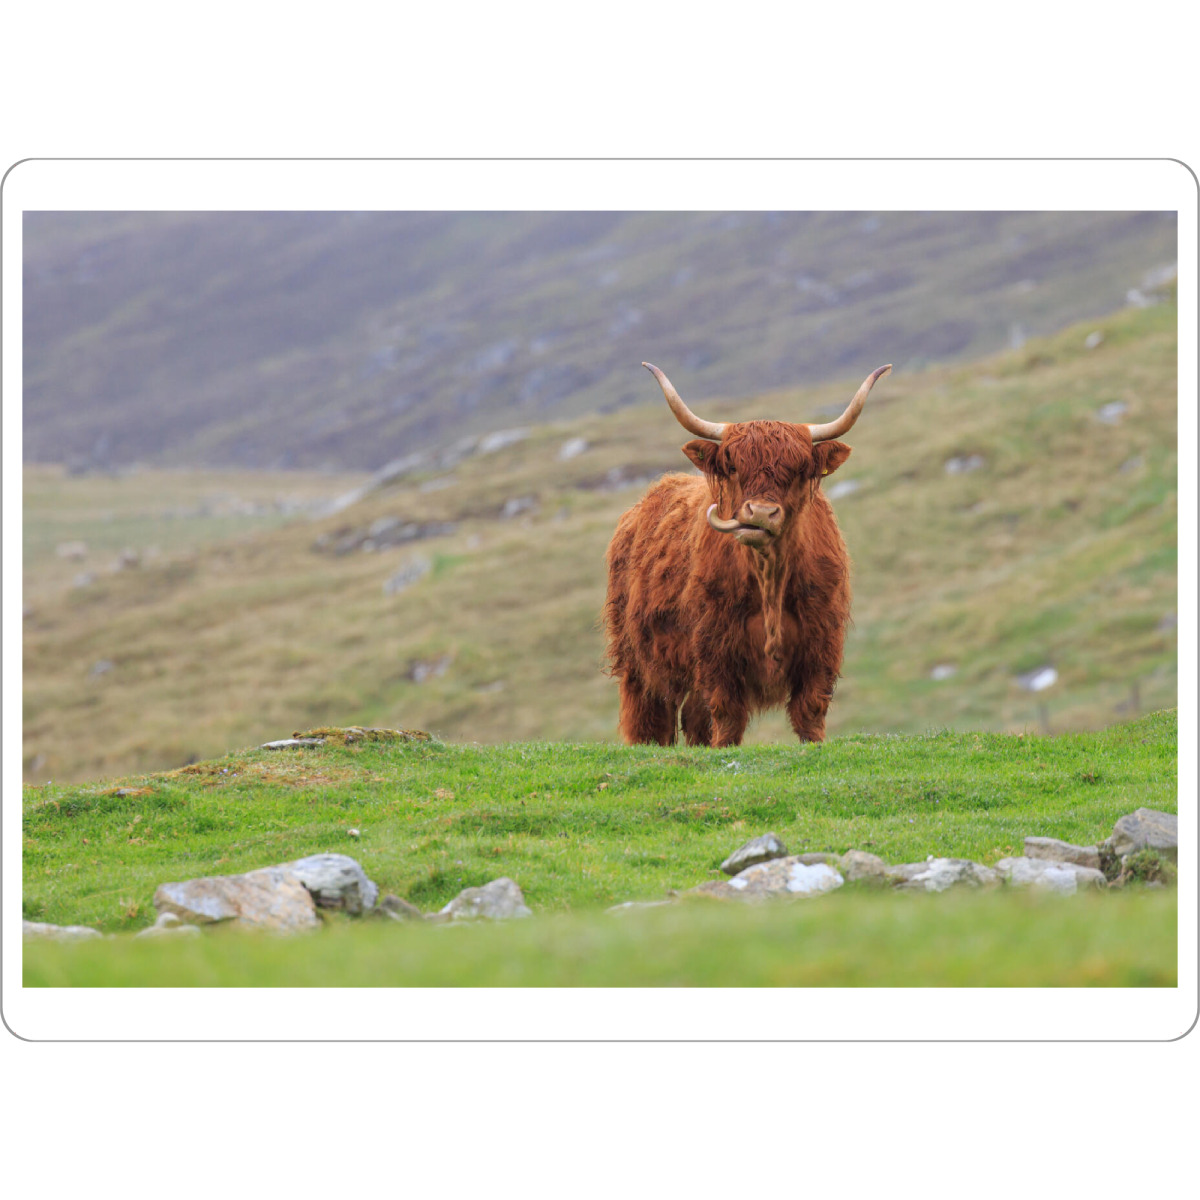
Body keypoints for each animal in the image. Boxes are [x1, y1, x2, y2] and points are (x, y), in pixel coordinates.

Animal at [603, 360, 891, 747]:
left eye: (798, 469)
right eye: (734, 466)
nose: (761, 514)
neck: (769, 578)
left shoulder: (820, 644)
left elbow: (810, 712)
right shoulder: (716, 648)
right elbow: (726, 717)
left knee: (693, 718)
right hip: (638, 659)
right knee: (649, 718)